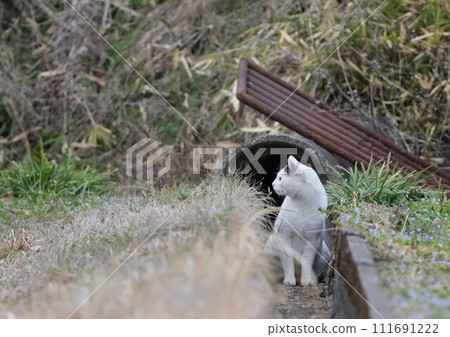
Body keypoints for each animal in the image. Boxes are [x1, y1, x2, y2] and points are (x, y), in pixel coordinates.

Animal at [264, 155, 330, 284]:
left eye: (280, 178)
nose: (273, 184)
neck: (302, 203)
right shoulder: (284, 237)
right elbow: (288, 262)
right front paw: (289, 280)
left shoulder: (312, 241)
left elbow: (307, 262)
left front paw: (306, 282)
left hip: (324, 253)